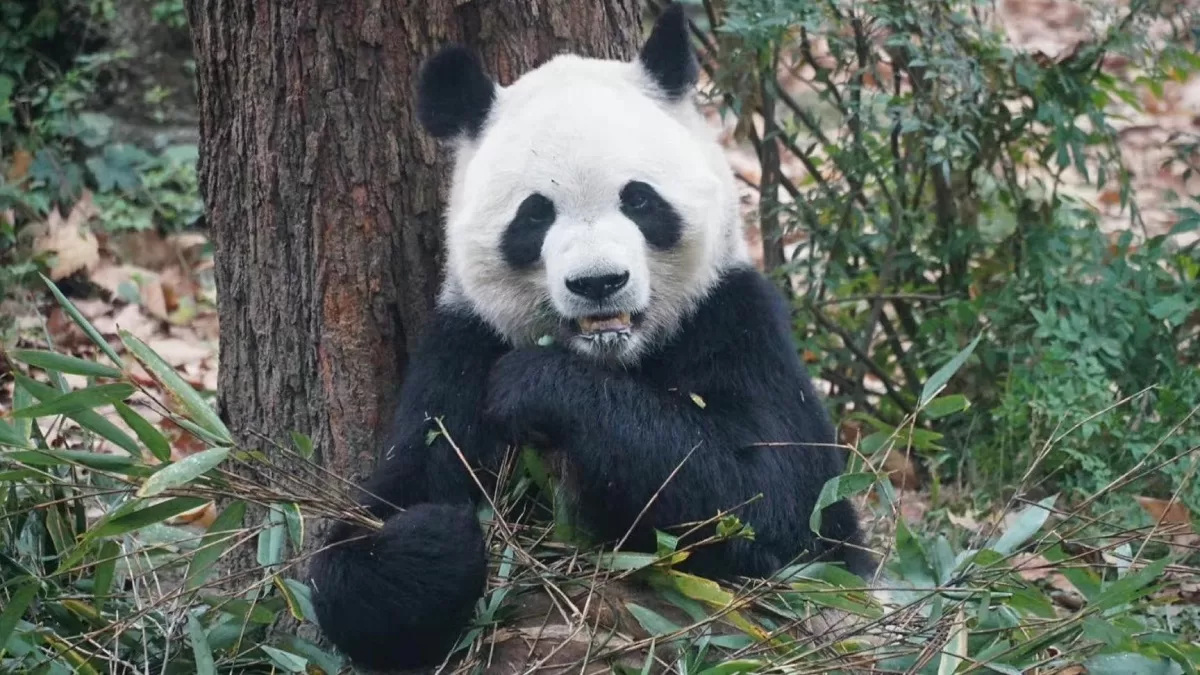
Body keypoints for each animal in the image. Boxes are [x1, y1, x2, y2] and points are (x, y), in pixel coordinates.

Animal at [309, 4, 873, 671]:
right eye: (534, 214)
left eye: (639, 199)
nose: (599, 282)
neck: (611, 358)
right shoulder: (461, 346)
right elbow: (376, 522)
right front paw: (436, 536)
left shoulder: (734, 321)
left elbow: (776, 501)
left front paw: (539, 388)